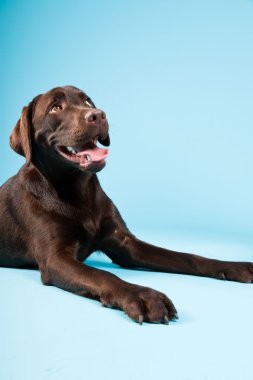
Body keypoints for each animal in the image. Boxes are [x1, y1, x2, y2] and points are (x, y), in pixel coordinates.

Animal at [0, 86, 252, 324]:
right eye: (55, 108)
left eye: (88, 101)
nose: (98, 115)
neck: (78, 191)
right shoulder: (55, 258)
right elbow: (102, 275)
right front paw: (142, 296)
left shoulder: (126, 244)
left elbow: (186, 257)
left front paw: (233, 266)